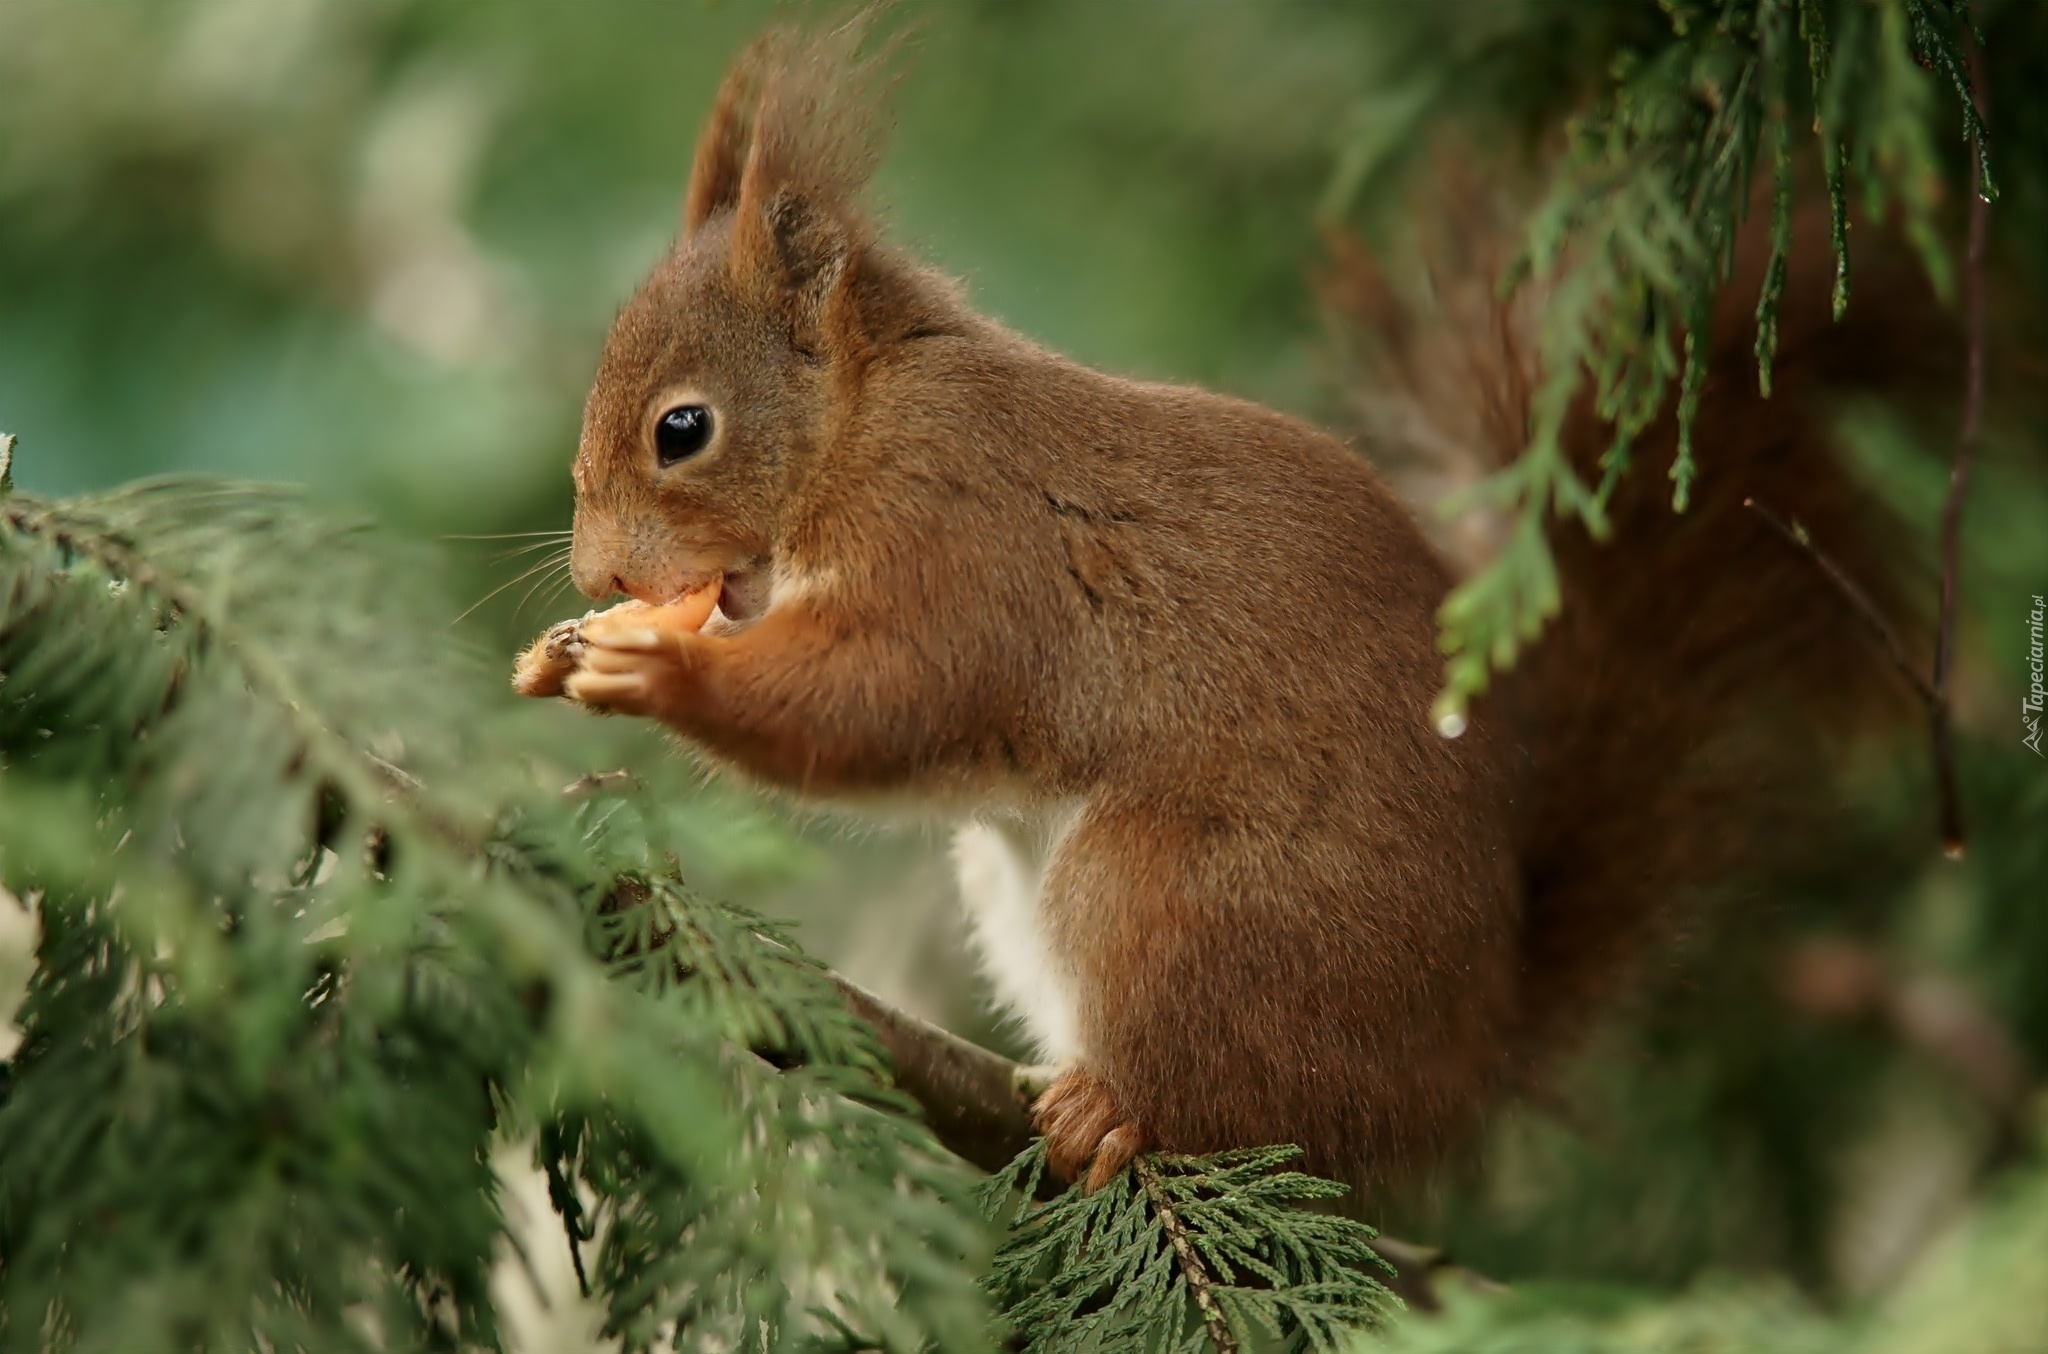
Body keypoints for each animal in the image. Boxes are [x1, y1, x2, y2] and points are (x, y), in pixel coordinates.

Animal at [520, 26, 1941, 1188]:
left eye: (681, 430)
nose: (596, 576)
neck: (862, 423)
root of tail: (1464, 1058)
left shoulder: (960, 543)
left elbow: (878, 700)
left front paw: (655, 673)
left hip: (1167, 897)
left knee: (1243, 1103)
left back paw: (1115, 1109)